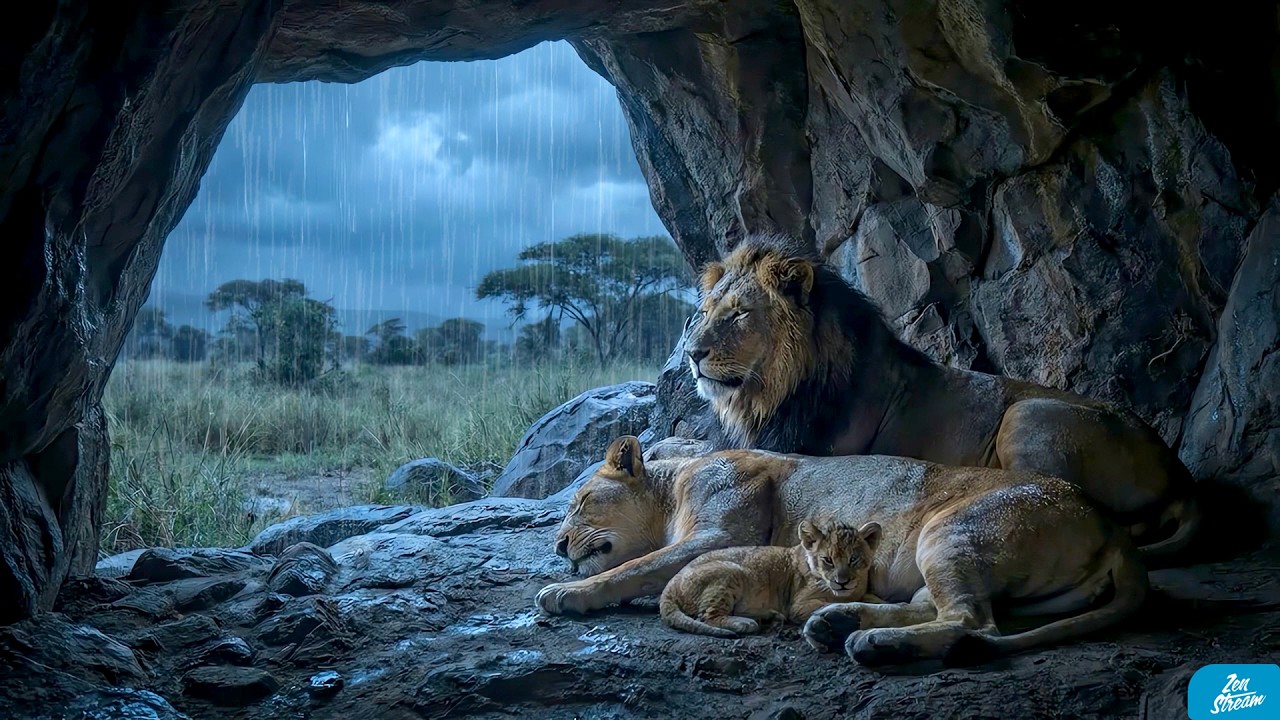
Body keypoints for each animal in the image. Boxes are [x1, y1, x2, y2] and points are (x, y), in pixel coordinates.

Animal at [659, 516, 882, 638]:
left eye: (853, 559)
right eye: (828, 560)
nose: (842, 582)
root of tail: (669, 586)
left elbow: (872, 599)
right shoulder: (798, 606)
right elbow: (828, 605)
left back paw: (769, 616)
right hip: (731, 571)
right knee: (706, 616)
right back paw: (746, 624)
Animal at [679, 232, 1200, 561]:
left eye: (740, 314)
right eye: (704, 312)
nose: (691, 353)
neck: (768, 398)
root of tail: (1178, 471)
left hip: (1025, 414)